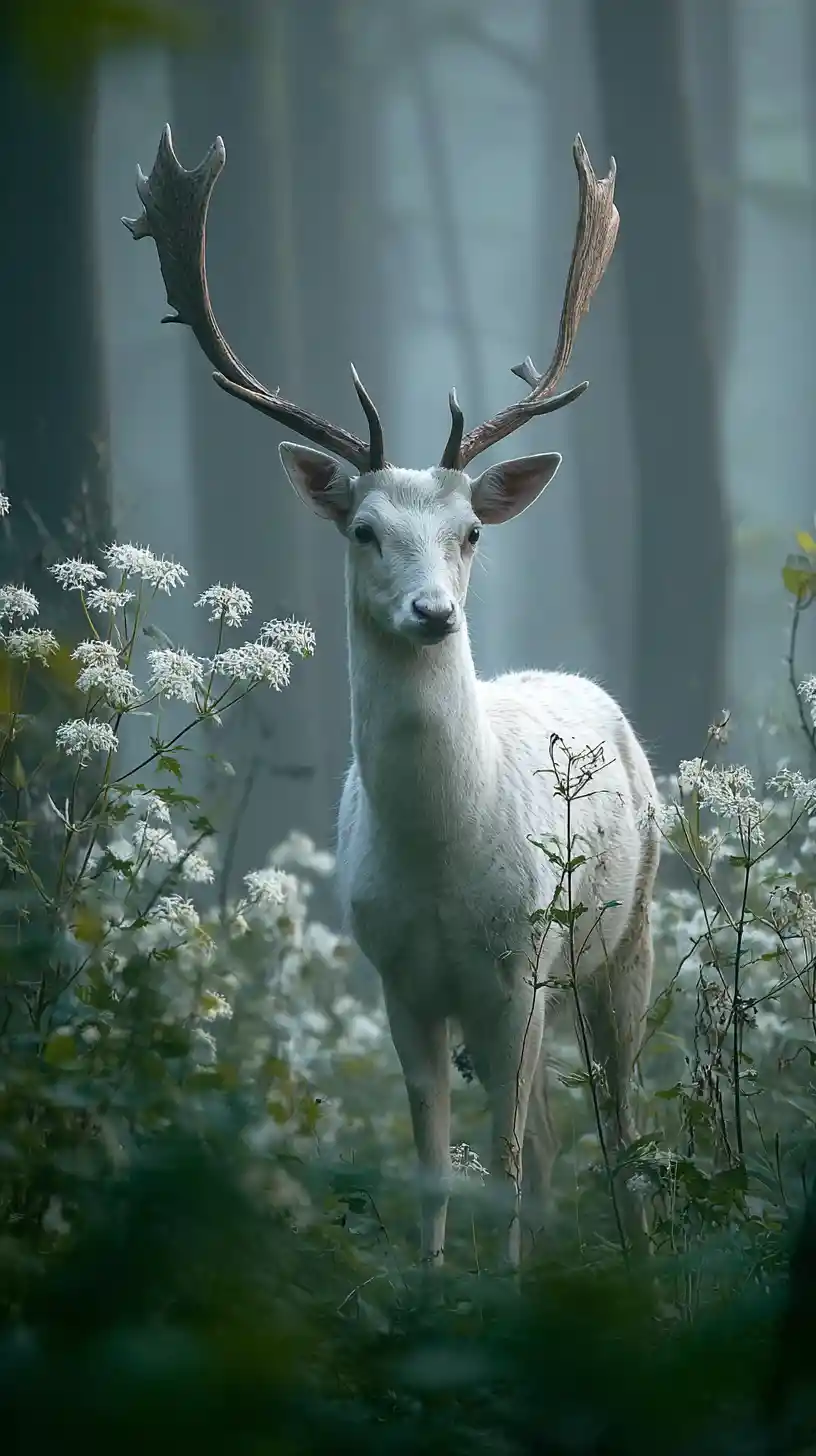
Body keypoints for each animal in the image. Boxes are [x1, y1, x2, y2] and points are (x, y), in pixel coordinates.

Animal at [125, 125, 659, 1268]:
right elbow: (434, 1171)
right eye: (364, 528)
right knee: (561, 1138)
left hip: (620, 937)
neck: (443, 861)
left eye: (472, 531)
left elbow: (501, 1163)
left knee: (621, 1119)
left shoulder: (514, 971)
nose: (432, 612)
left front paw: (502, 1295)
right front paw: (434, 1291)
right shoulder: (398, 983)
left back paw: (643, 1262)